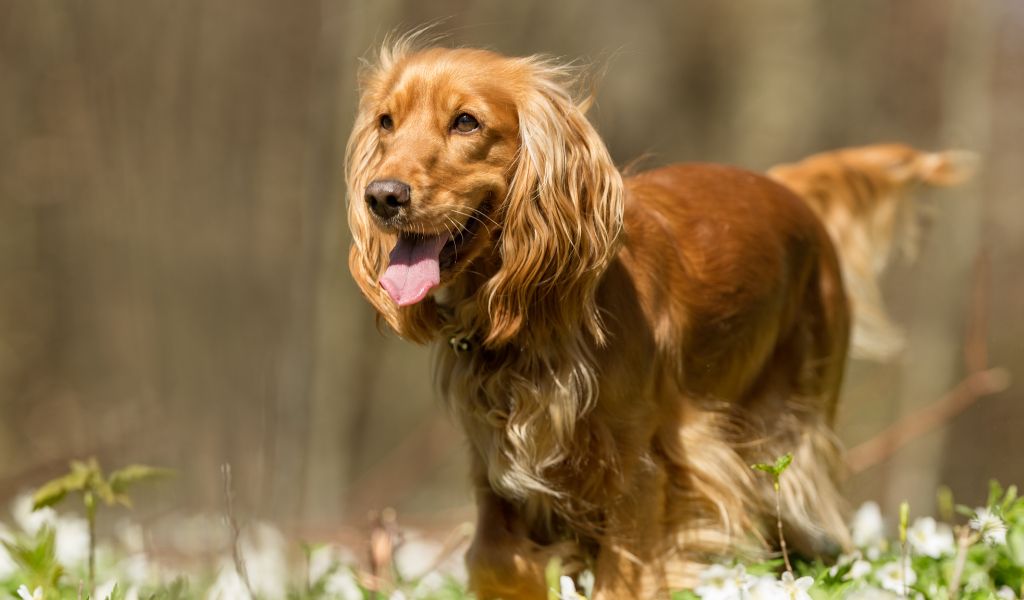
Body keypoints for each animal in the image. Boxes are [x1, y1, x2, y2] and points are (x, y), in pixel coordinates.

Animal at [346, 39, 974, 593]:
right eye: (386, 122)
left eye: (467, 123)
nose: (382, 196)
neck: (534, 323)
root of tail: (786, 185)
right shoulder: (498, 478)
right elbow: (500, 563)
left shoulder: (640, 474)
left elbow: (622, 579)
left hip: (787, 436)